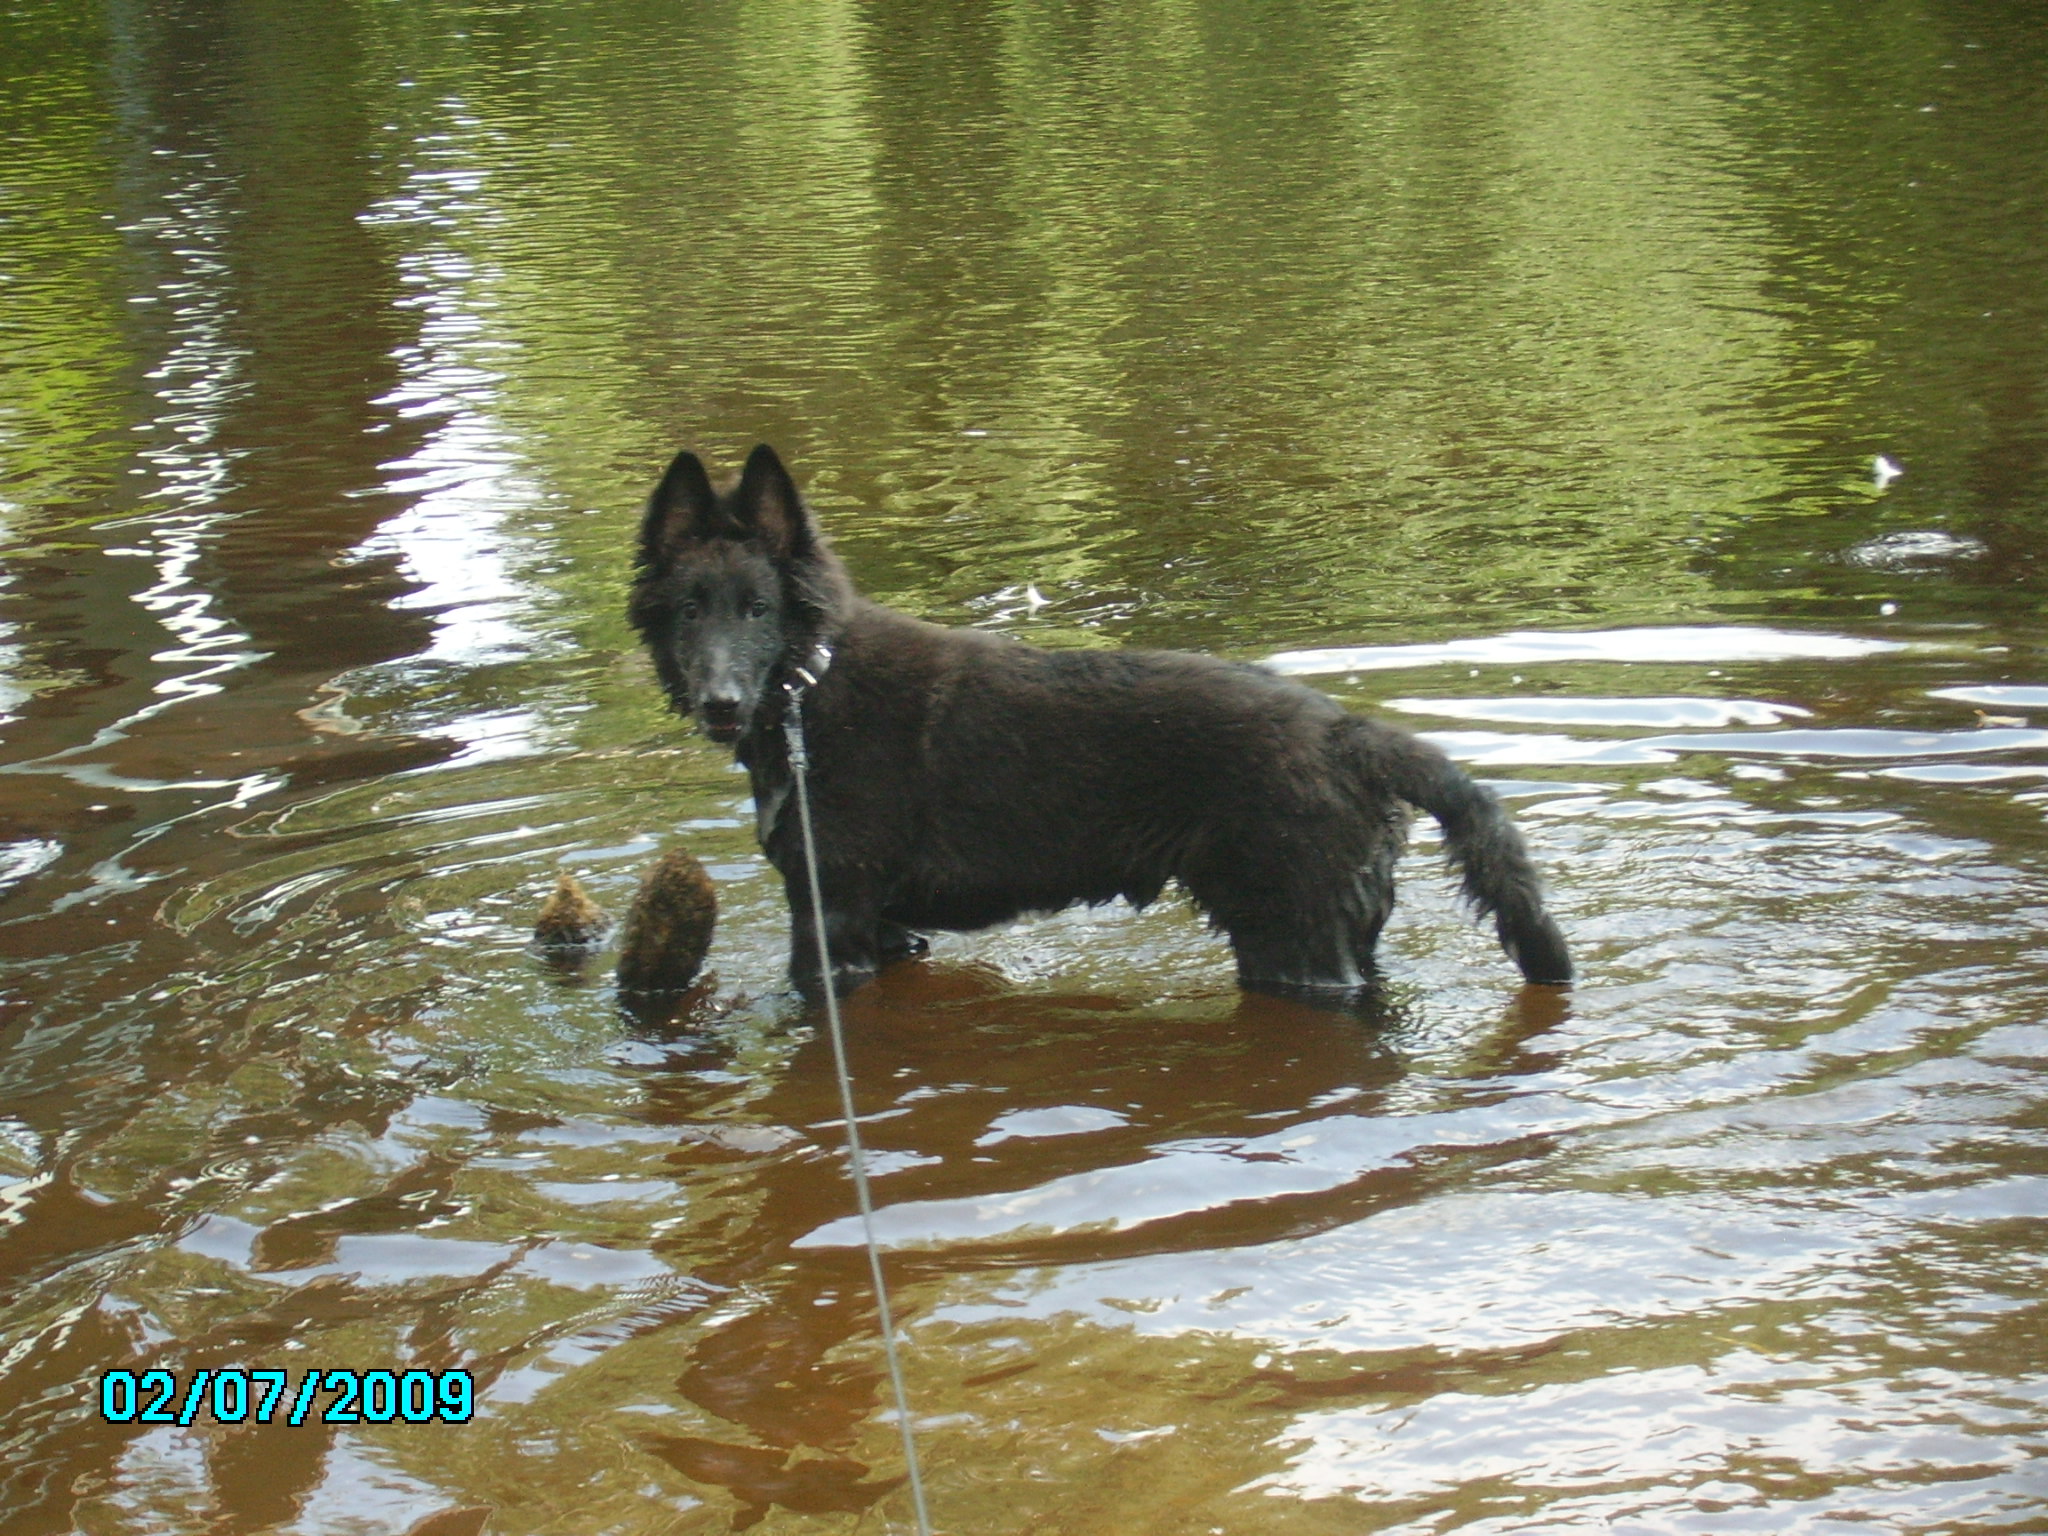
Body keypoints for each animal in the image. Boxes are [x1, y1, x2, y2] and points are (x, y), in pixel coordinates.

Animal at [630, 444, 1572, 999]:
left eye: (758, 610)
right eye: (689, 610)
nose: (720, 703)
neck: (809, 692)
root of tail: (1351, 735)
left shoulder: (833, 925)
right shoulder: (888, 930)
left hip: (1292, 942)